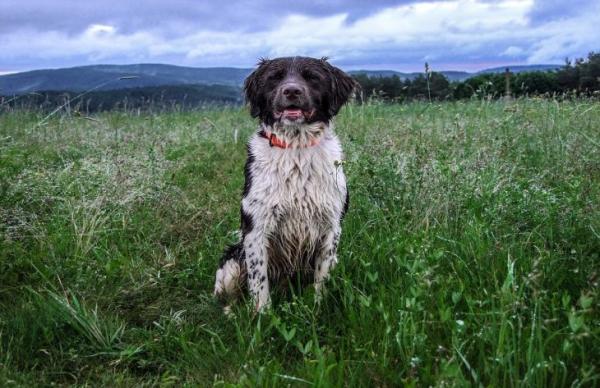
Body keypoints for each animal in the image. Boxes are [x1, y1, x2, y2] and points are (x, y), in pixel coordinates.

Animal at [214, 56, 356, 310]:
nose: (291, 91)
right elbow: (259, 282)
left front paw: (318, 306)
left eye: (312, 77)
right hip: (231, 261)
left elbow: (322, 278)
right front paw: (262, 315)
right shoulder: (256, 229)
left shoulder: (331, 226)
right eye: (275, 77)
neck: (296, 148)